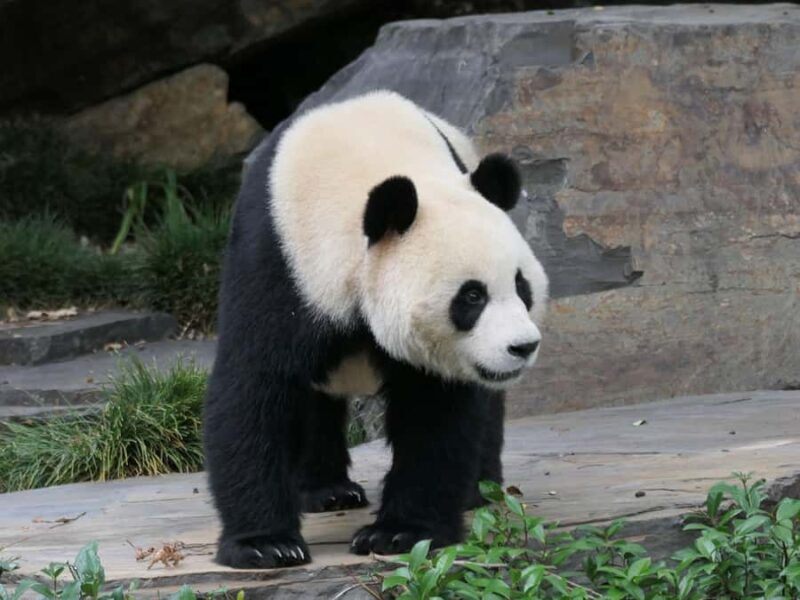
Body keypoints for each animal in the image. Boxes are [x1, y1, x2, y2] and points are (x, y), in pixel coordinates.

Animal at [204, 91, 548, 569]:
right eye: (471, 296)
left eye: (521, 286)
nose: (522, 346)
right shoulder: (276, 265)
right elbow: (254, 390)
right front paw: (265, 544)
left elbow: (435, 412)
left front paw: (400, 533)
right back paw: (327, 491)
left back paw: (478, 489)